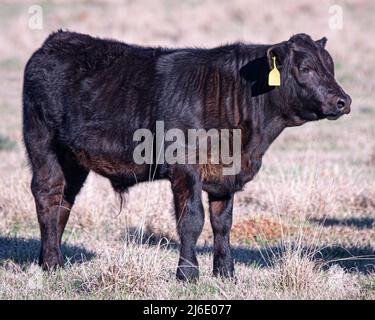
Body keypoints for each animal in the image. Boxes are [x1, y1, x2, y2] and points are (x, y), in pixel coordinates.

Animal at [22, 30, 352, 280]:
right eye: (306, 68)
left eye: (331, 67)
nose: (343, 101)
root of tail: (57, 40)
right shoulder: (185, 168)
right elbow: (192, 219)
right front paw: (188, 273)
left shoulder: (224, 175)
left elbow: (222, 223)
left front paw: (226, 273)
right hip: (44, 145)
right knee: (48, 196)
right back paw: (52, 262)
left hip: (73, 160)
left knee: (63, 203)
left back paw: (48, 259)